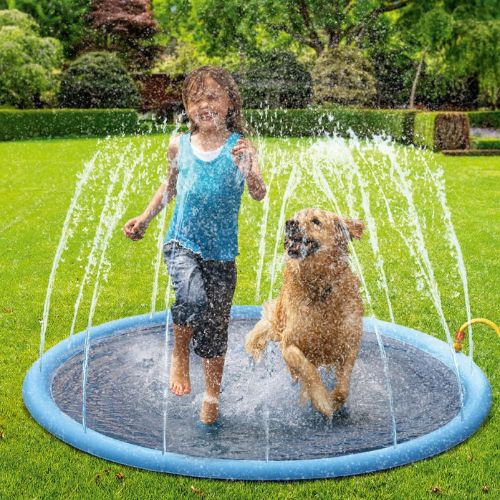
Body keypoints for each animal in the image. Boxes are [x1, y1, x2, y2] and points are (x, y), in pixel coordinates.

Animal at [245, 207, 364, 418]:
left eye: (316, 221)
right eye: (296, 217)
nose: (290, 222)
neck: (319, 289)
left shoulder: (349, 342)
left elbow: (343, 385)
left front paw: (335, 400)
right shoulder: (290, 344)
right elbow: (307, 368)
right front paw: (321, 400)